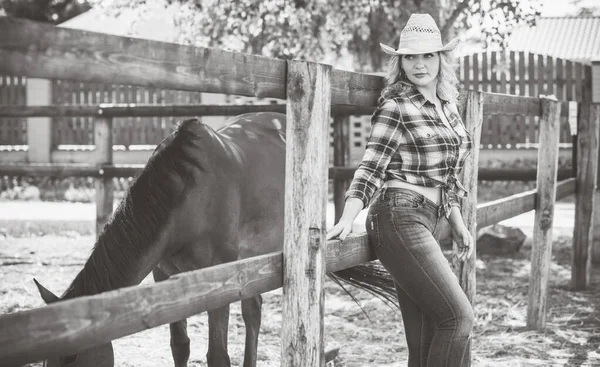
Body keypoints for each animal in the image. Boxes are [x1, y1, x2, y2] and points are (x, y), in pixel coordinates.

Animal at [35, 112, 396, 367]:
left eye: (72, 358)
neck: (187, 196)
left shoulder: (220, 279)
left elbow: (218, 356)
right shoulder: (164, 276)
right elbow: (180, 346)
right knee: (253, 310)